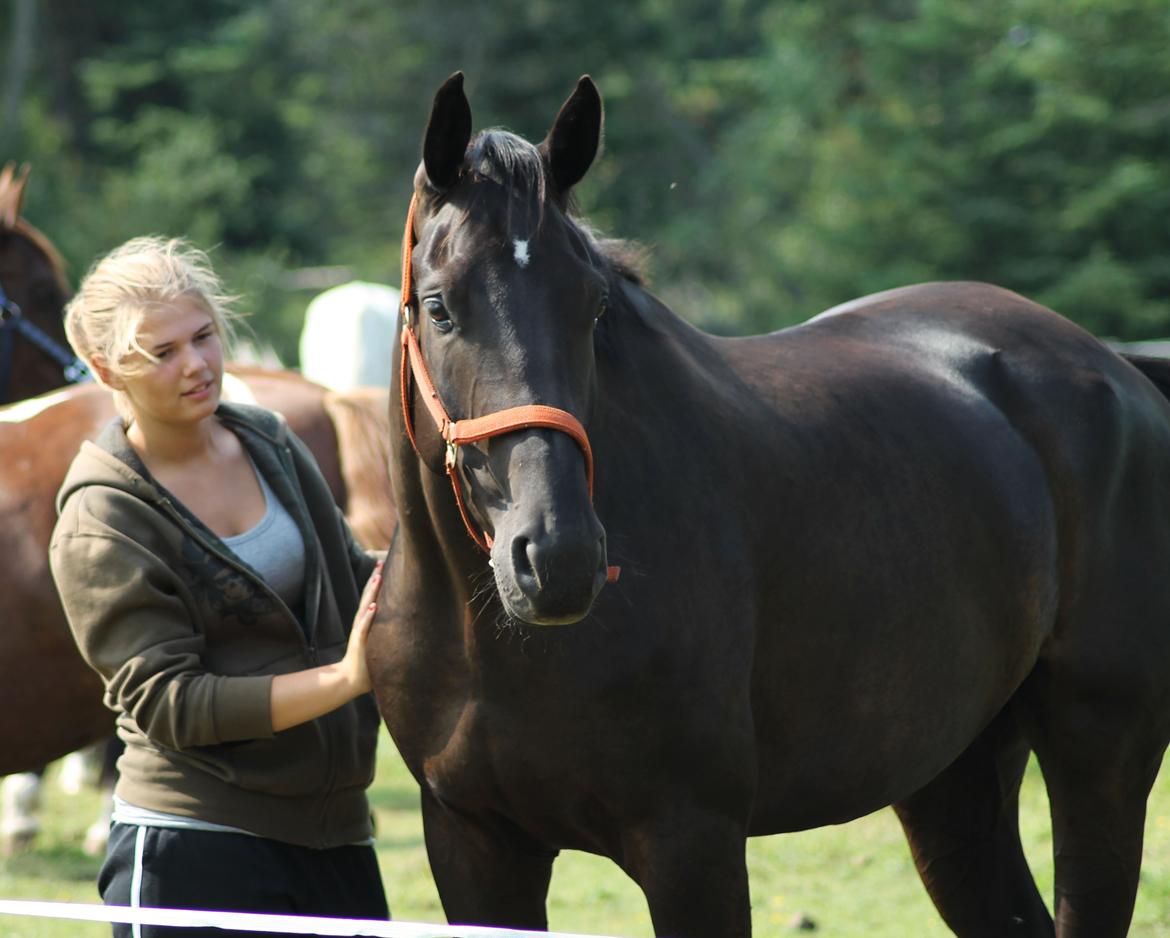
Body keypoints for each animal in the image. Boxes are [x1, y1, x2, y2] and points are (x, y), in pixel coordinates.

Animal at [367, 74, 1170, 935]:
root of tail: (1116, 369)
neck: (493, 643)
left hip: (1100, 759)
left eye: (592, 305)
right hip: (955, 779)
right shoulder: (476, 846)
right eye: (440, 306)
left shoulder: (692, 841)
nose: (559, 558)